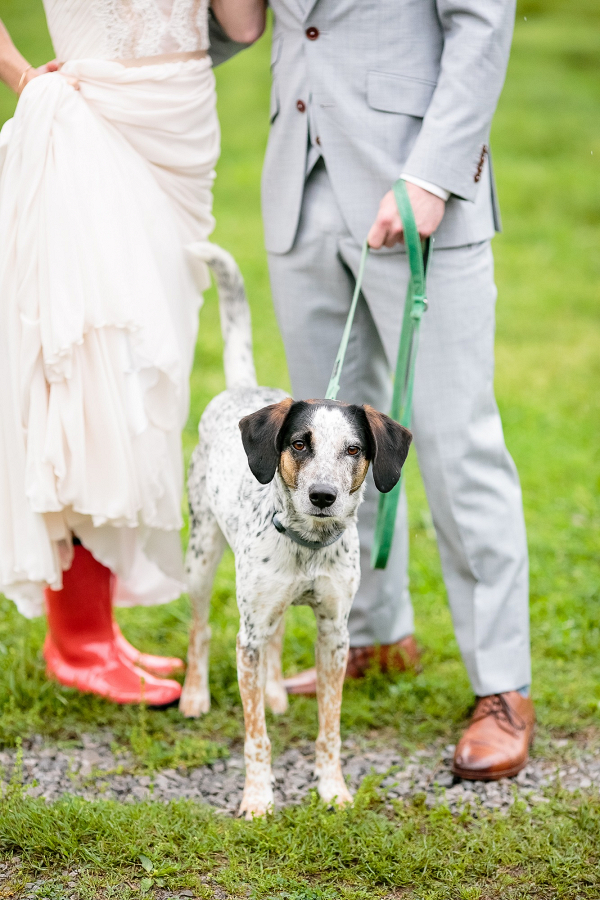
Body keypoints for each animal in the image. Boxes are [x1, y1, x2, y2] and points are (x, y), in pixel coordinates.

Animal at [178, 243, 412, 820]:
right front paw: (258, 798)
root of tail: (242, 387)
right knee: (199, 630)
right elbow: (255, 735)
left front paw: (333, 790)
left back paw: (277, 691)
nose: (323, 496)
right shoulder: (247, 638)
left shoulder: (335, 634)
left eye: (354, 449)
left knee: (278, 636)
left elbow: (329, 728)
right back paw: (194, 695)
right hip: (200, 558)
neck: (308, 543)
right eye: (300, 444)